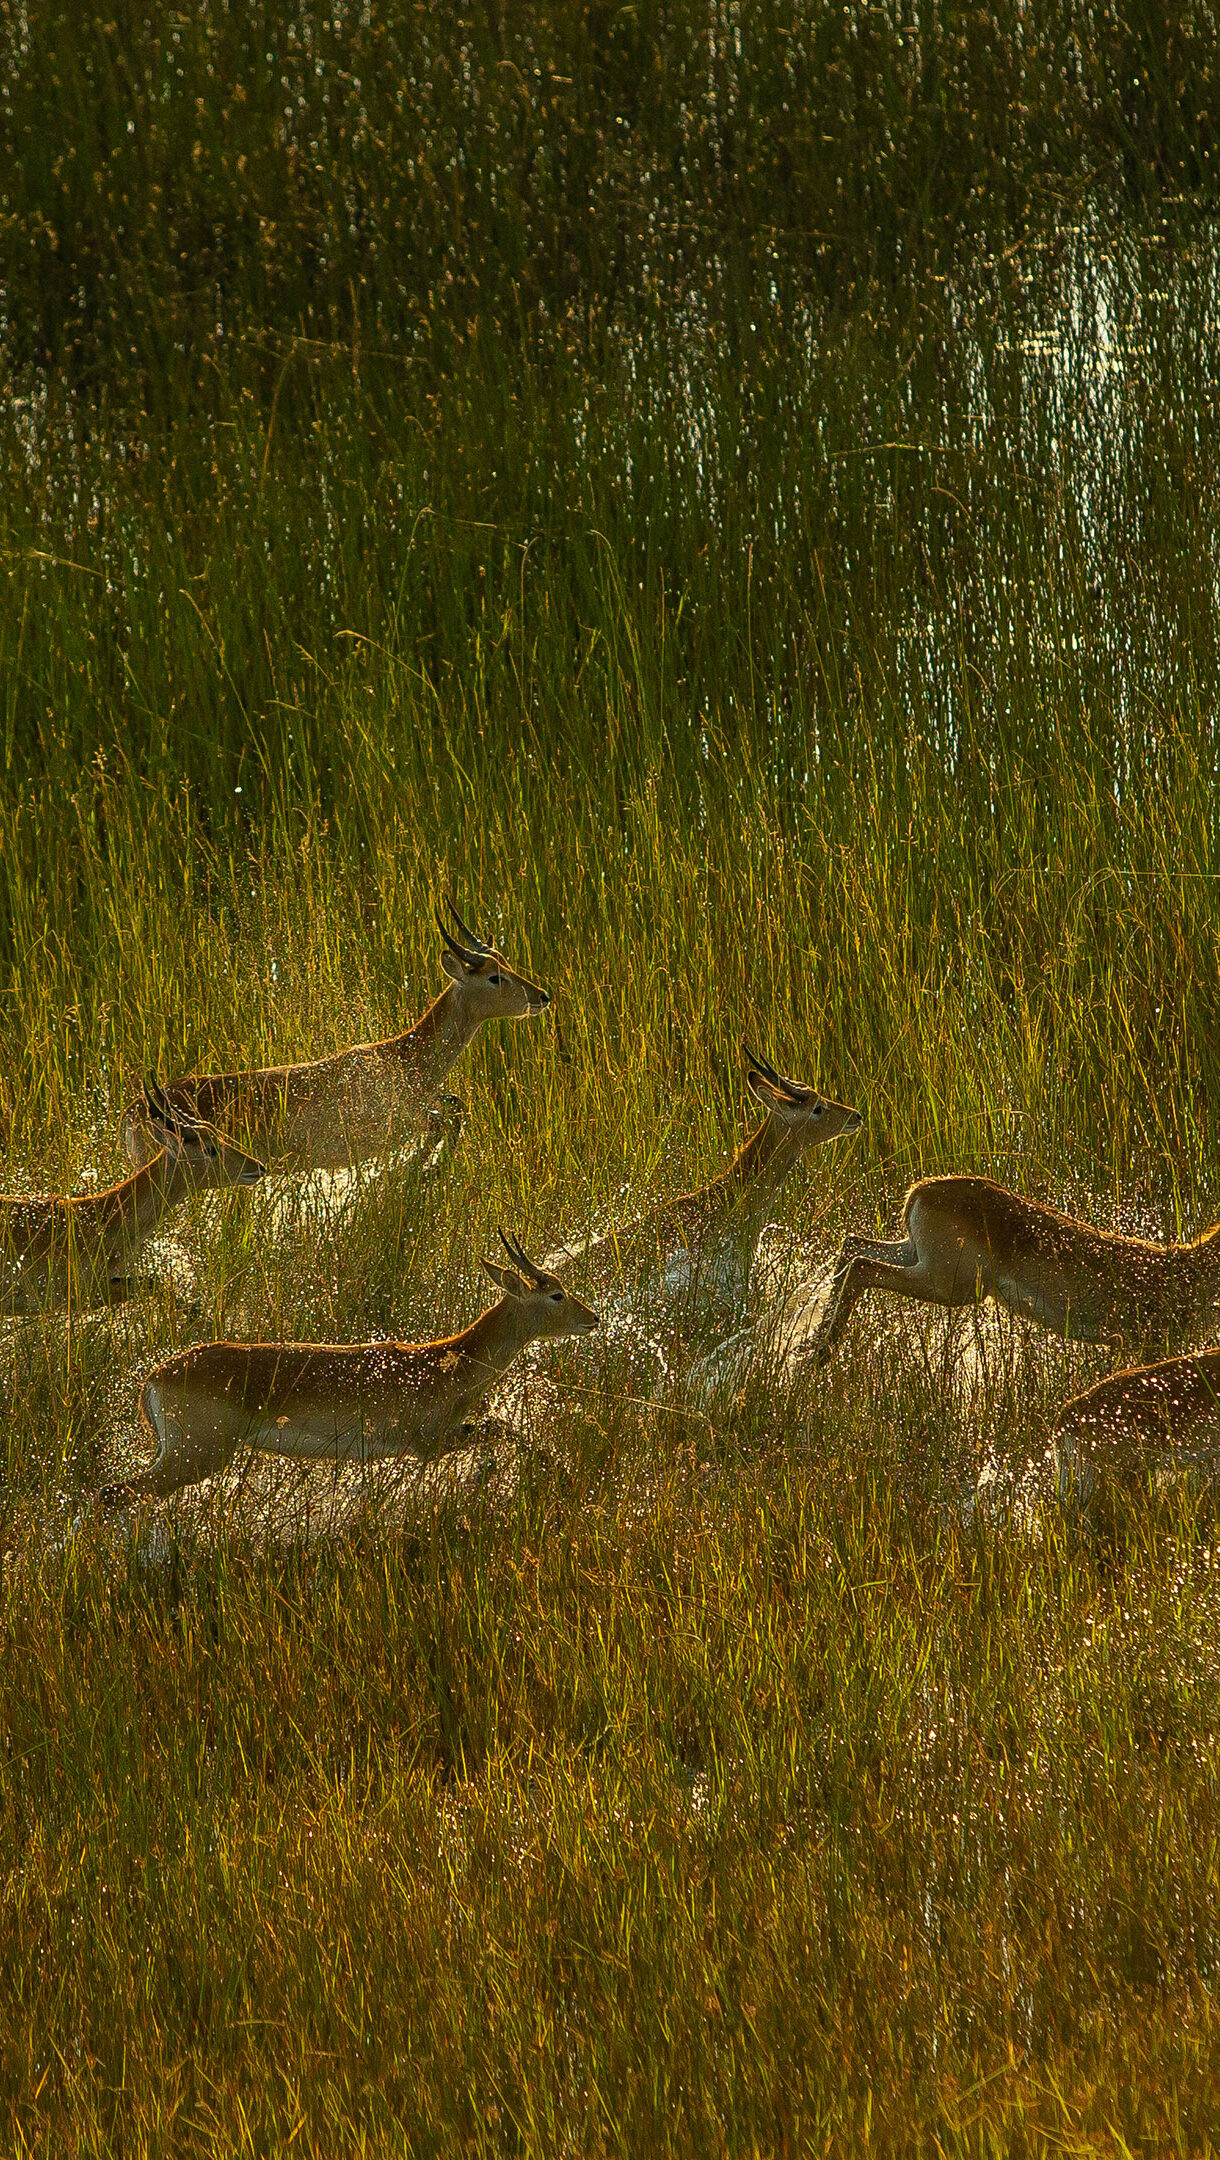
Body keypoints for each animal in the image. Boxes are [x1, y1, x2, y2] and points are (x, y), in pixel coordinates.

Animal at [104, 1231, 599, 1502]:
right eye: (555, 1293)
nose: (592, 1318)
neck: (444, 1364)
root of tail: (154, 1377)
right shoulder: (428, 1443)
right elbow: (503, 1427)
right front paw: (566, 1475)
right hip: (195, 1456)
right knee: (116, 1493)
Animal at [120, 899, 550, 1175]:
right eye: (494, 976)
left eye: (506, 962)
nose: (541, 996)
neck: (401, 1057)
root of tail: (134, 1109)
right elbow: (445, 1120)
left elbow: (456, 1106)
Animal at [808, 1175, 1220, 1366]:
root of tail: (920, 1191)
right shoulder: (1146, 1344)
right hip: (951, 1286)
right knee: (861, 1266)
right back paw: (820, 1355)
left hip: (915, 1255)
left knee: (852, 1246)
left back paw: (807, 1349)